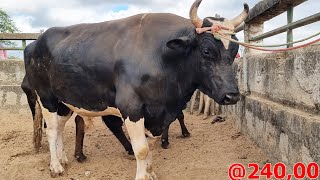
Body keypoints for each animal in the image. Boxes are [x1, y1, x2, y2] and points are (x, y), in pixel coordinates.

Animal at [21, 0, 248, 177]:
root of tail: (34, 43)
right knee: (51, 130)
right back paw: (56, 166)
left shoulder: (156, 113)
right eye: (207, 50)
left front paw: (151, 173)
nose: (232, 96)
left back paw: (63, 159)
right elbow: (141, 149)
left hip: (65, 101)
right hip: (46, 97)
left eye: (235, 49)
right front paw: (143, 175)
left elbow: (151, 146)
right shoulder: (131, 108)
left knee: (59, 127)